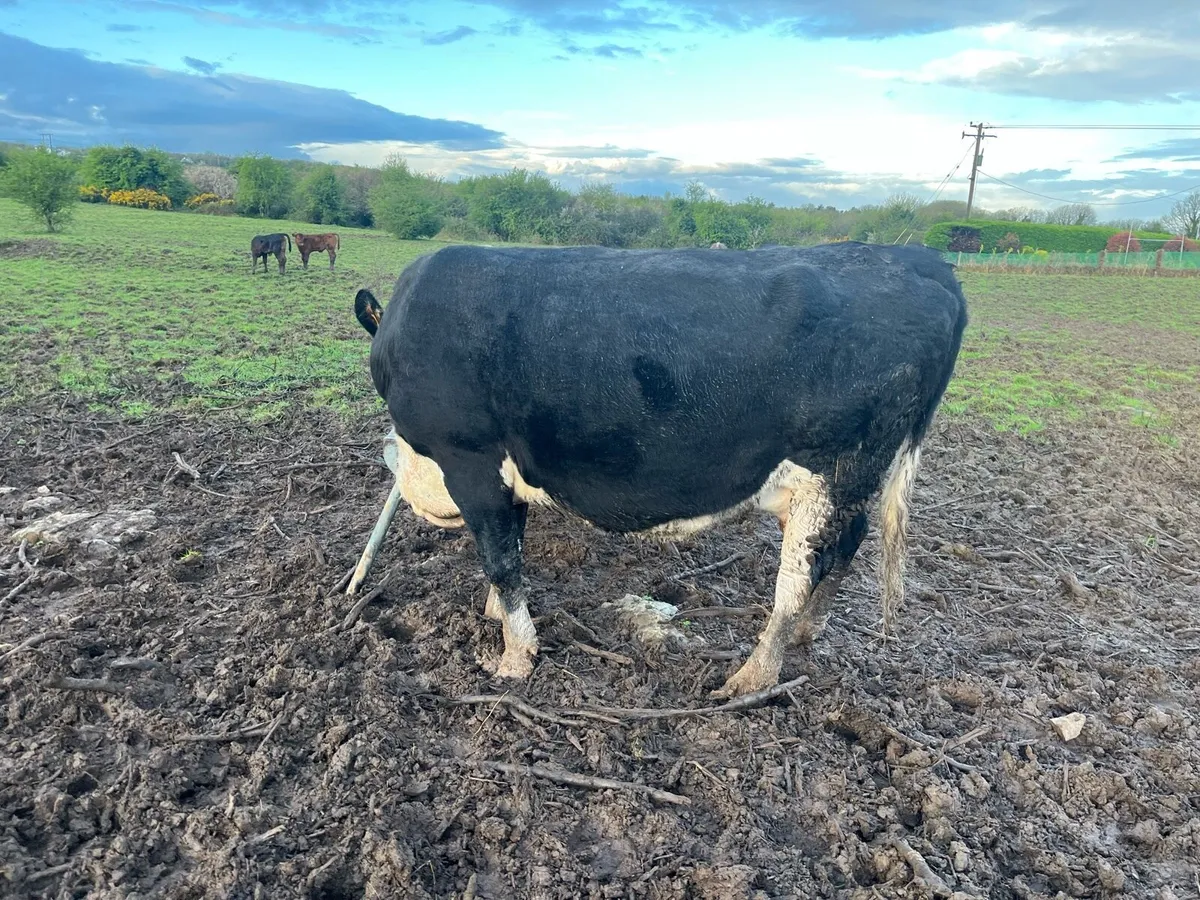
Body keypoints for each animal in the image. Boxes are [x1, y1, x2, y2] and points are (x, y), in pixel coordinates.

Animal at [348, 242, 968, 698]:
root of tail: (920, 258)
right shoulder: (504, 476)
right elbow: (511, 549)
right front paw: (496, 616)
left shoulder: (469, 460)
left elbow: (501, 560)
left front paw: (514, 658)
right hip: (844, 482)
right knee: (846, 546)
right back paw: (808, 633)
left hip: (833, 472)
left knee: (799, 576)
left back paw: (753, 674)